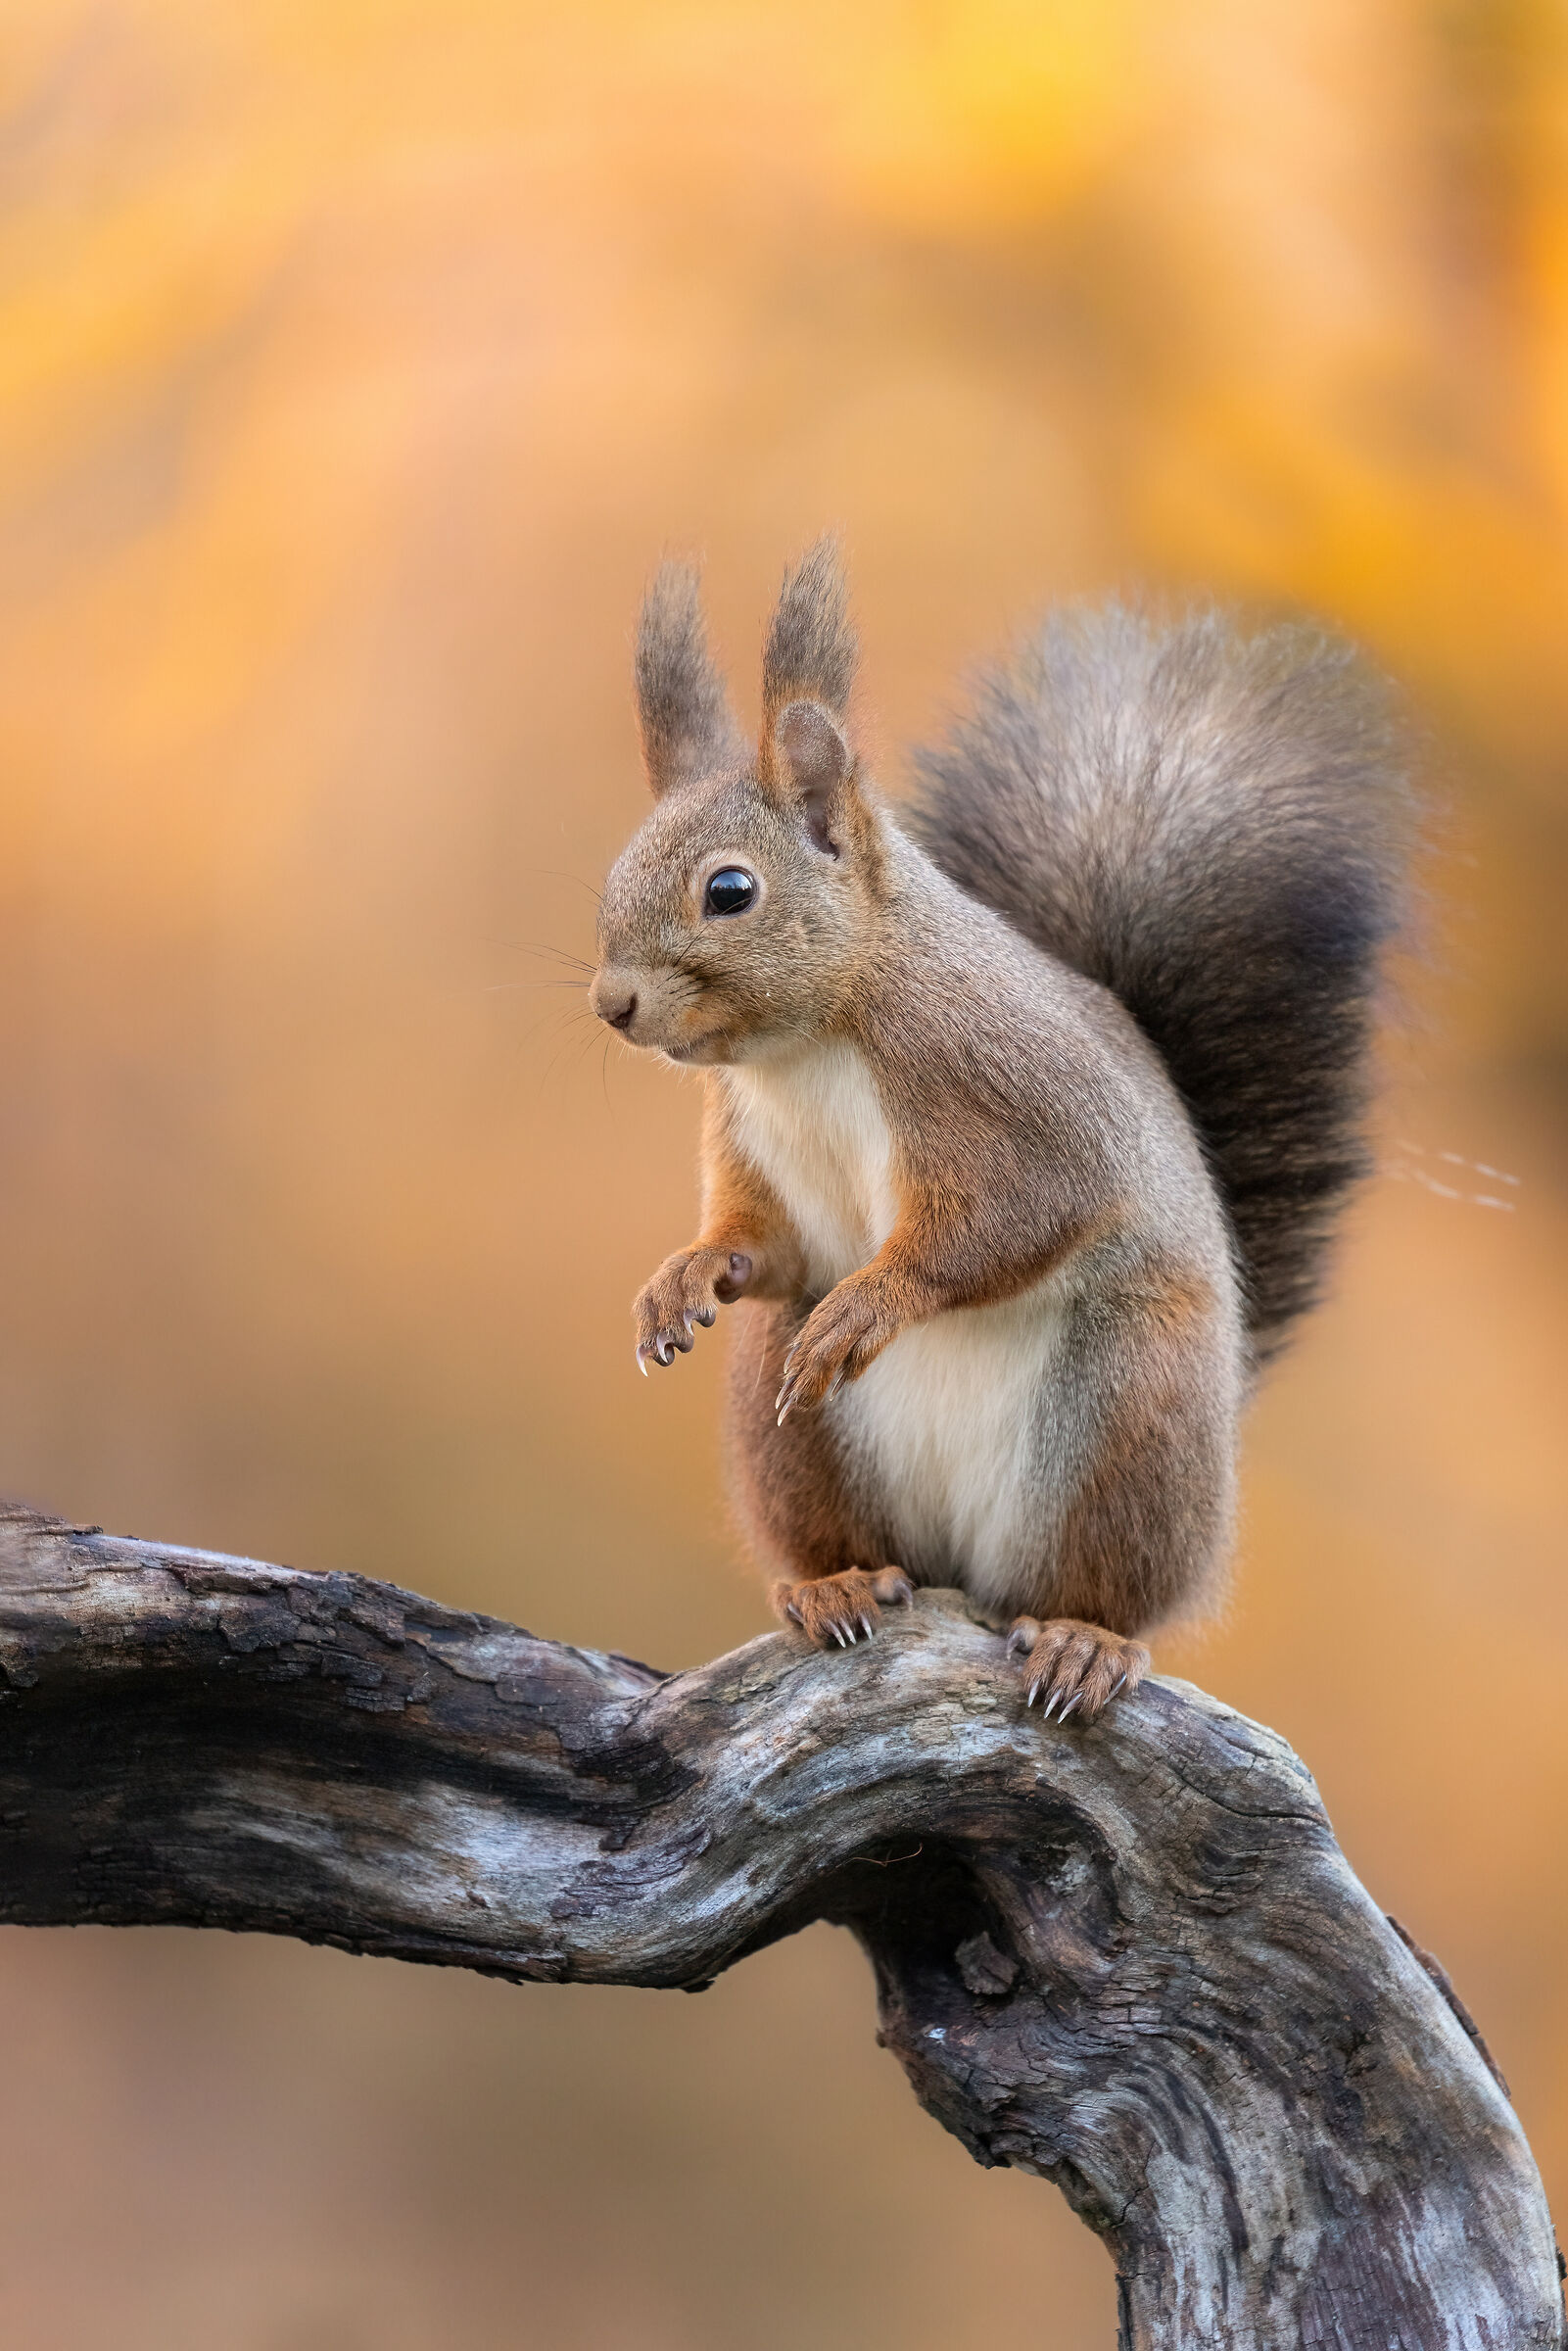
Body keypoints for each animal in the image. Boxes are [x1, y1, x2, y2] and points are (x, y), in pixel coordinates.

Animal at [588, 540, 1409, 1722]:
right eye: (613, 872)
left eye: (729, 891)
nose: (610, 1005)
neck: (812, 1041)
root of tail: (965, 1575)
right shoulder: (751, 1141)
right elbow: (764, 1245)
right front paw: (685, 1275)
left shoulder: (1016, 1097)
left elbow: (1013, 1219)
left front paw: (873, 1303)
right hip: (787, 1422)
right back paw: (834, 1586)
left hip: (1128, 1413)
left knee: (1105, 1589)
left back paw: (1080, 1641)